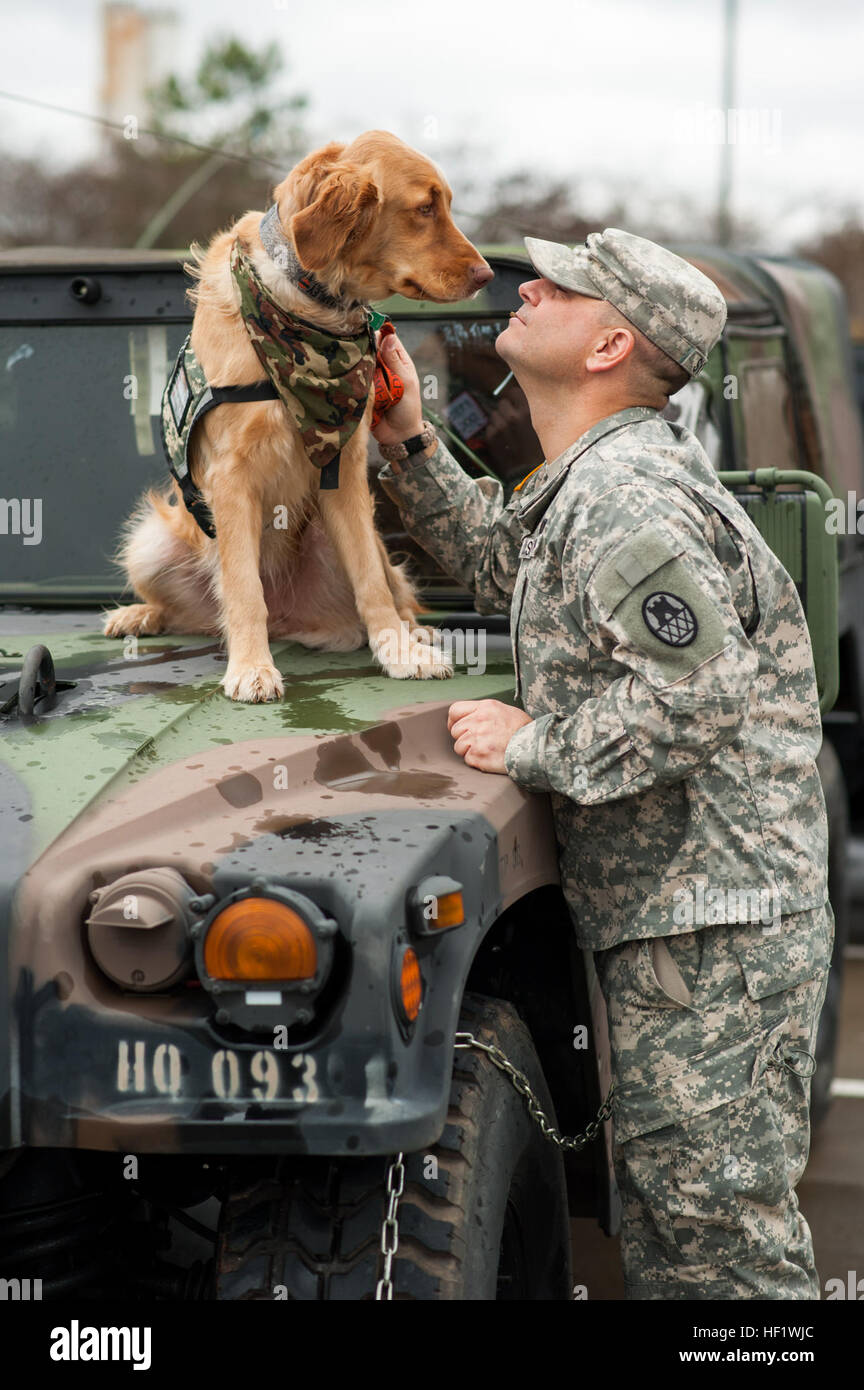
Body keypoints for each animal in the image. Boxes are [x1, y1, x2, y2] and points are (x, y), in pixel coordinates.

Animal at [102, 127, 494, 695]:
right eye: (425, 207)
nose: (488, 274)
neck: (307, 308)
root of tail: (292, 620)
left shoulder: (346, 470)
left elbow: (372, 583)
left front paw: (397, 650)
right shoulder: (230, 477)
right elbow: (243, 588)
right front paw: (250, 666)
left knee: (389, 586)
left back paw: (412, 632)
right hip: (151, 542)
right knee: (195, 612)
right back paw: (140, 615)